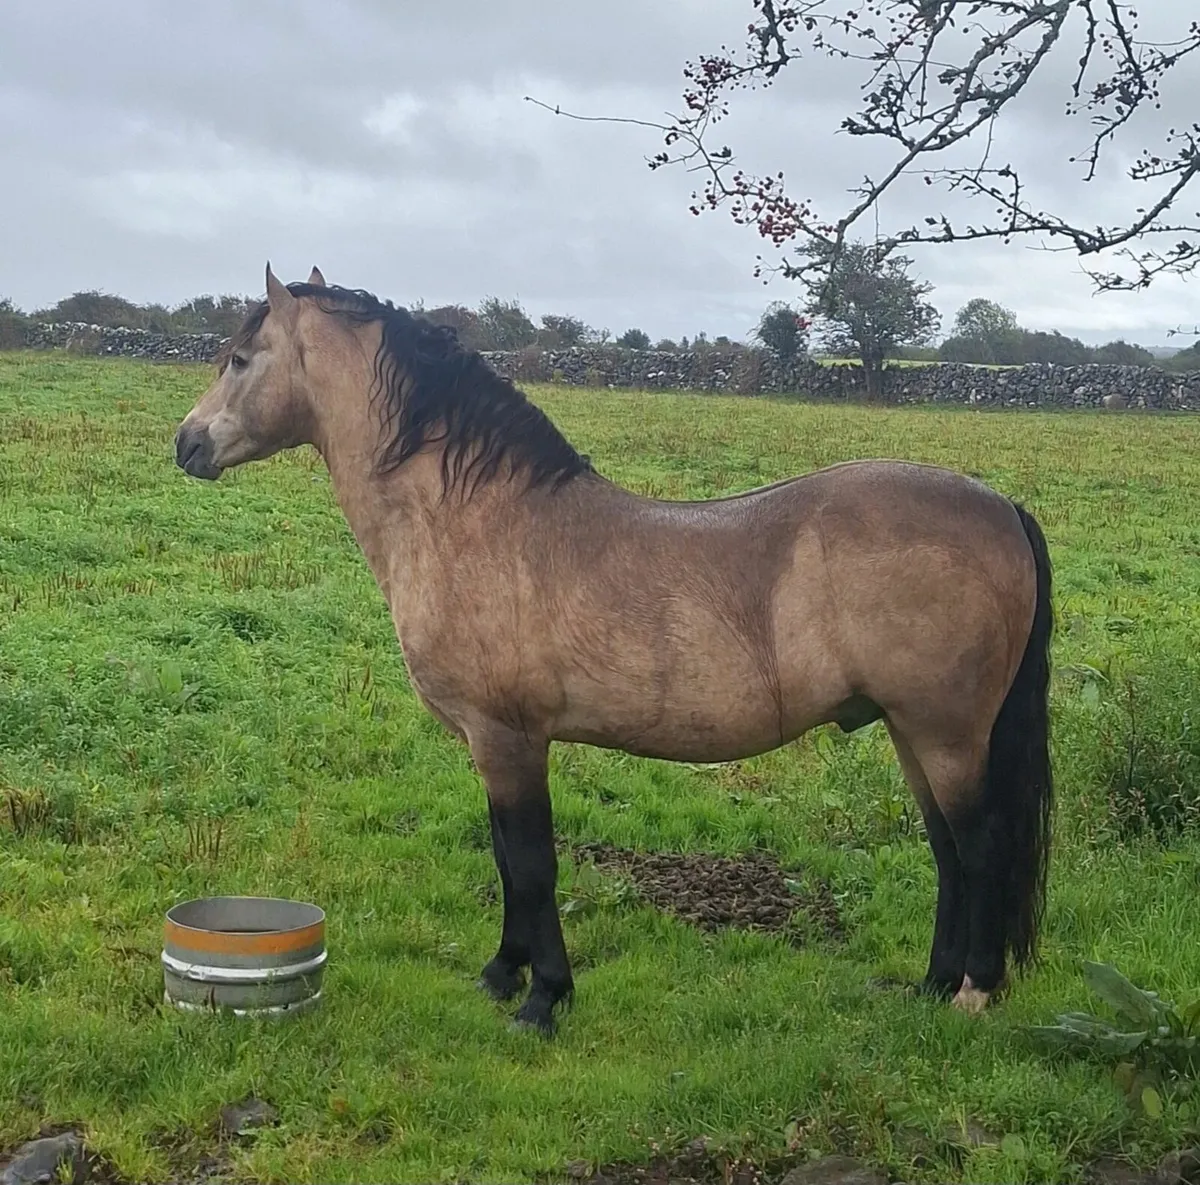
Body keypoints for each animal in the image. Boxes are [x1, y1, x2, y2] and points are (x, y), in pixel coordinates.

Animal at [175, 263, 1054, 1037]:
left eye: (240, 358)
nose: (185, 445)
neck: (474, 520)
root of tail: (1001, 507)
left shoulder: (510, 739)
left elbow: (533, 864)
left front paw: (542, 999)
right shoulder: (492, 744)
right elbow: (506, 859)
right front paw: (502, 975)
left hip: (945, 734)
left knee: (982, 848)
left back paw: (973, 990)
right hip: (911, 731)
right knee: (947, 852)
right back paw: (930, 985)